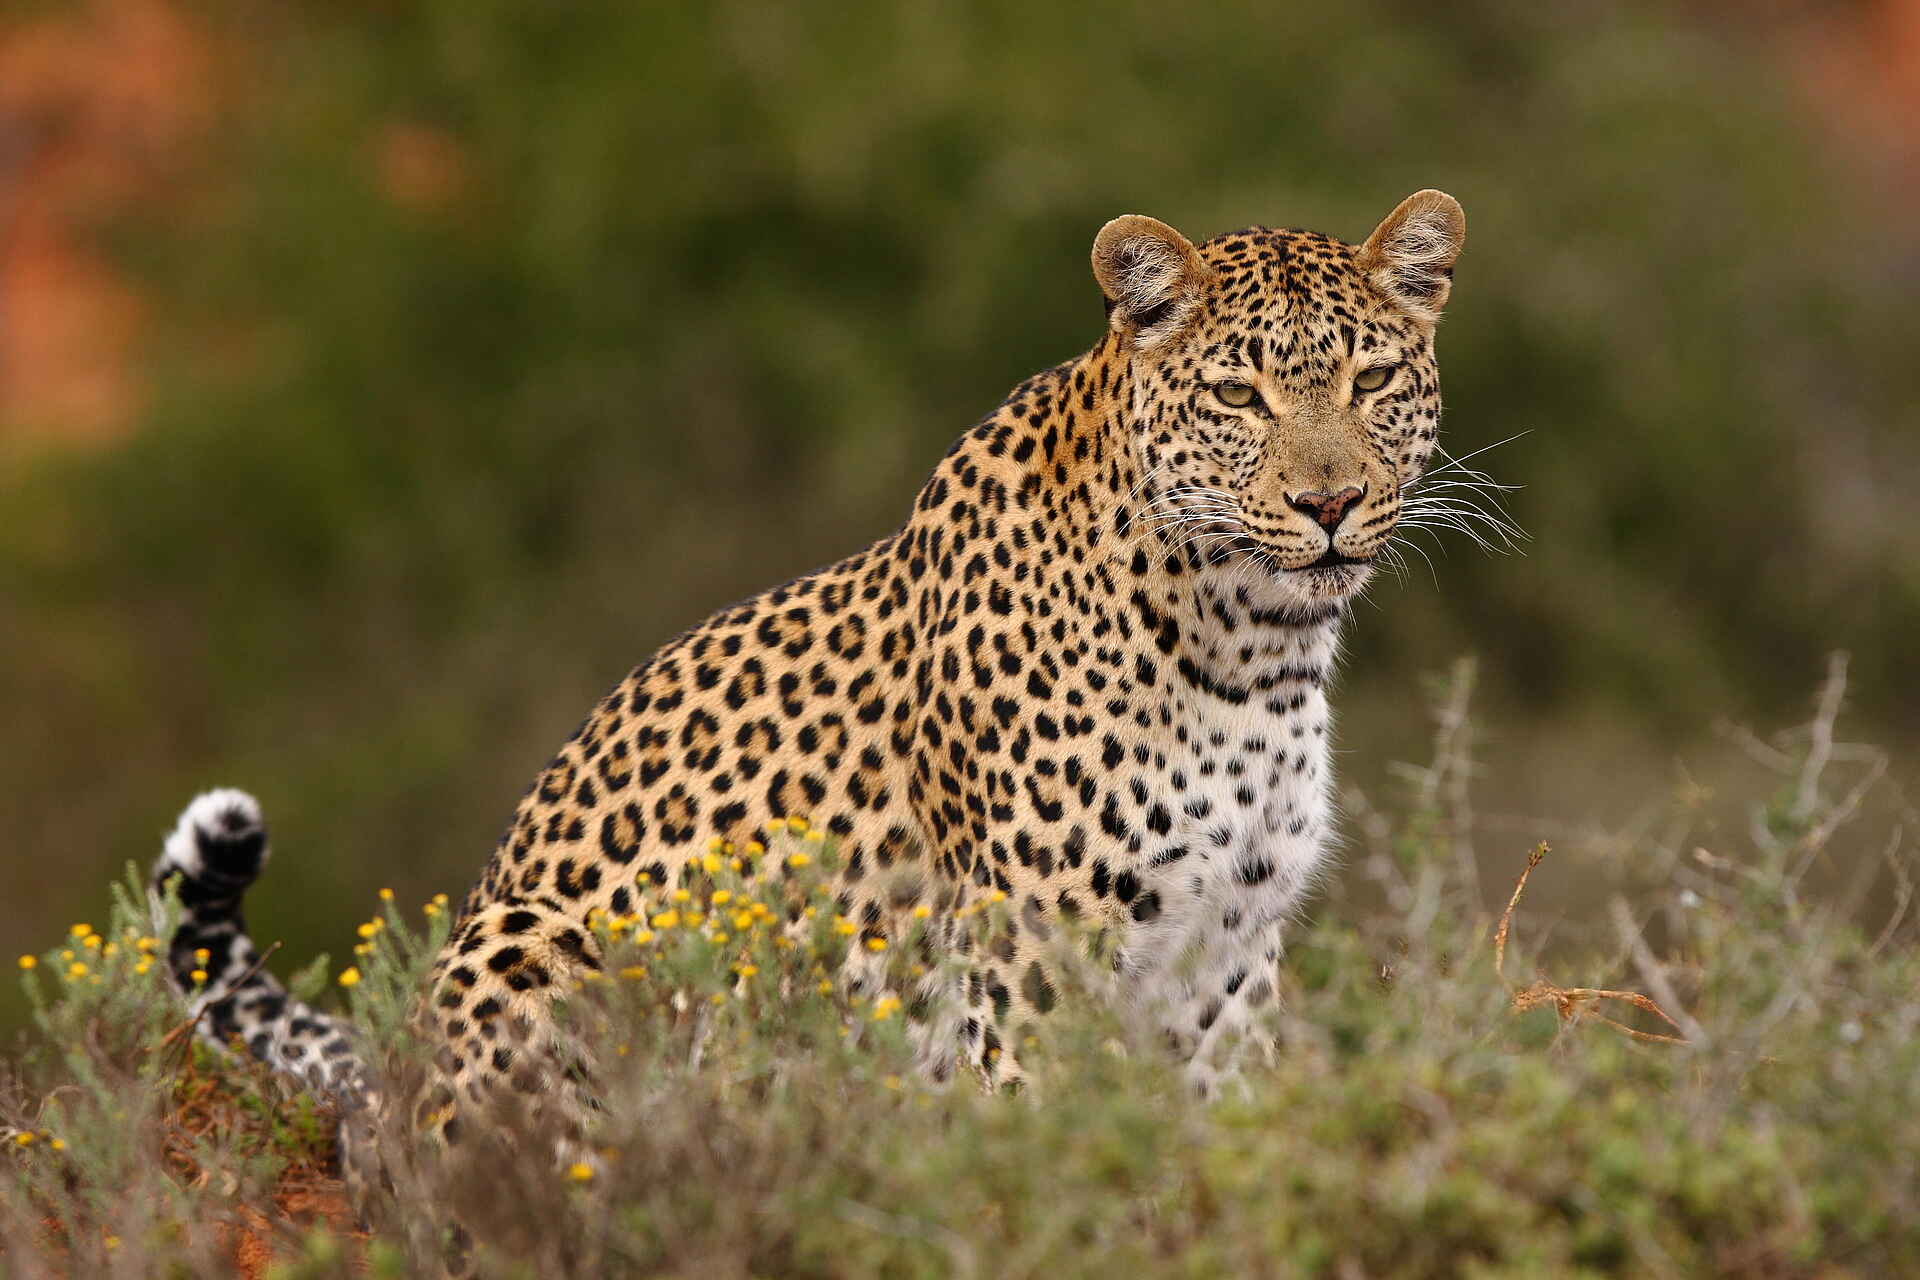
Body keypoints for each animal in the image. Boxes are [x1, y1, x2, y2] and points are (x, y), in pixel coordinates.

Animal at [152, 189, 1467, 1177]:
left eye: (1370, 381)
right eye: (1240, 395)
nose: (1330, 501)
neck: (1250, 646)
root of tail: (382, 1099)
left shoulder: (1226, 952)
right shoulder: (1037, 947)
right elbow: (1045, 1151)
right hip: (526, 940)